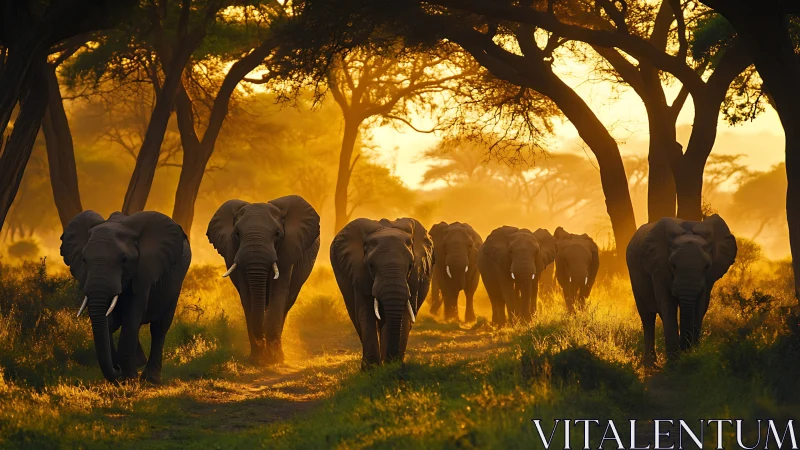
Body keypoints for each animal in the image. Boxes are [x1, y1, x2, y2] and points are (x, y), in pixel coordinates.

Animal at [60, 210, 191, 384]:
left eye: (124, 260)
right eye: (84, 260)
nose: (117, 369)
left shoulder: (144, 272)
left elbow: (132, 315)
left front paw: (128, 379)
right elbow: (111, 322)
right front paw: (122, 375)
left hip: (176, 283)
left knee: (159, 327)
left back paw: (151, 379)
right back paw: (139, 363)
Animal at [207, 195, 320, 365]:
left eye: (278, 234)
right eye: (237, 234)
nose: (262, 340)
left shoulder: (287, 250)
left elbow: (278, 293)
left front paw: (274, 360)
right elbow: (247, 297)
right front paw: (257, 359)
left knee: (285, 305)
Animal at [330, 217, 433, 369]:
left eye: (410, 266)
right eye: (371, 266)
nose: (391, 361)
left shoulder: (415, 277)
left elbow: (405, 314)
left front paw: (392, 366)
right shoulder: (359, 273)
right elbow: (366, 313)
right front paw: (371, 370)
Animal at [626, 214, 737, 367]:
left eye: (707, 267)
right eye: (673, 266)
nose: (686, 349)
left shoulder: (707, 279)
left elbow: (700, 307)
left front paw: (693, 356)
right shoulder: (658, 267)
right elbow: (667, 307)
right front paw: (673, 364)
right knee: (647, 316)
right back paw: (650, 365)